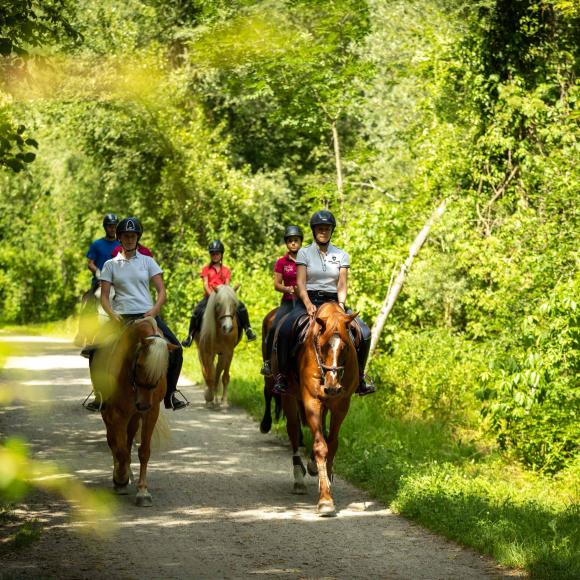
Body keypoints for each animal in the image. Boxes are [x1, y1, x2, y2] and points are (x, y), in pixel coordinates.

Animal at [89, 318, 177, 508]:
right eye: (140, 365)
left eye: (163, 371)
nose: (142, 404)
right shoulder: (116, 413)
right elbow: (120, 450)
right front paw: (120, 479)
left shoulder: (151, 413)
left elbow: (143, 451)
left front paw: (142, 491)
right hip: (111, 413)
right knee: (113, 442)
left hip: (134, 416)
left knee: (128, 440)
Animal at [276, 302, 360, 516]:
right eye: (322, 346)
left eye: (345, 347)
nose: (332, 387)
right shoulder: (312, 401)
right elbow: (321, 446)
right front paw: (325, 500)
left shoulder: (341, 404)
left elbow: (333, 443)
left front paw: (327, 480)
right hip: (289, 396)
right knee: (294, 430)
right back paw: (299, 478)